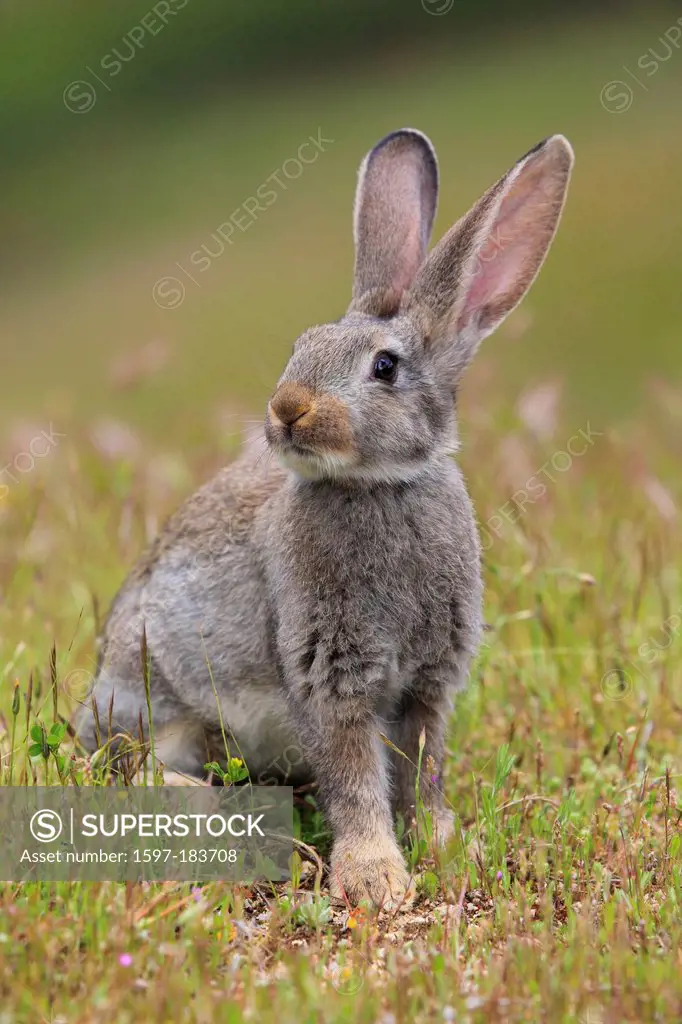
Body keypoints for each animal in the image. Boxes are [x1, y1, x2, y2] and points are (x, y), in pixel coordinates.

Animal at [76, 125, 569, 905]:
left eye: (385, 368)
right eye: (299, 348)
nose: (287, 408)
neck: (380, 485)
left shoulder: (428, 686)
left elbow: (421, 772)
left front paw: (441, 845)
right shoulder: (329, 673)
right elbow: (356, 778)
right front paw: (376, 878)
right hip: (152, 686)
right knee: (124, 767)